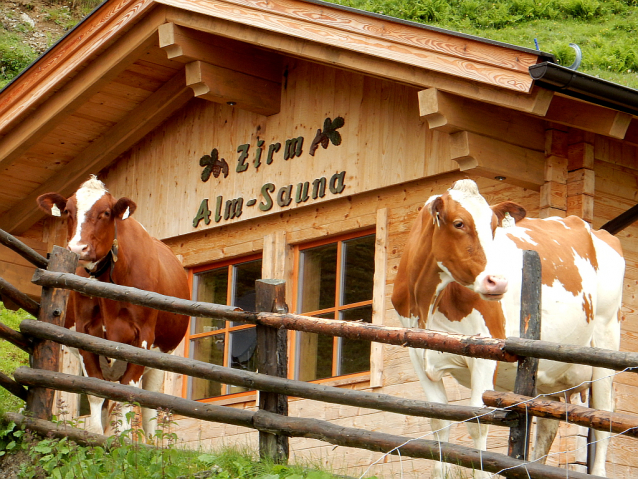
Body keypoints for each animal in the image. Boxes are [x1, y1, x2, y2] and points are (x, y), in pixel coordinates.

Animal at [37, 177, 190, 438]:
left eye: (106, 213)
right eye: (68, 211)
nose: (78, 249)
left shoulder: (143, 339)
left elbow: (129, 397)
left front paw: (124, 442)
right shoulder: (85, 334)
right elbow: (97, 395)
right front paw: (96, 438)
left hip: (160, 358)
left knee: (149, 409)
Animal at [392, 181, 628, 479]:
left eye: (494, 226)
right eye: (458, 223)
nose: (498, 281)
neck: (428, 306)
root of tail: (594, 230)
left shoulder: (486, 351)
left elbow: (478, 421)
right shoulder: (418, 354)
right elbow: (438, 422)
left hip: (606, 343)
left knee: (604, 418)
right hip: (546, 371)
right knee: (547, 423)